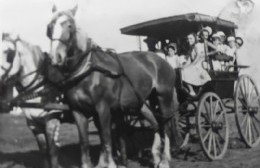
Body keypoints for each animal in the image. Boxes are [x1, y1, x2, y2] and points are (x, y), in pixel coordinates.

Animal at [46, 5, 180, 168]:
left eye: (69, 26)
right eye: (49, 27)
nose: (55, 57)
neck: (87, 71)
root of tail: (161, 60)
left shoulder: (103, 108)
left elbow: (106, 138)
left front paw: (109, 163)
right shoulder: (78, 111)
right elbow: (84, 142)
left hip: (163, 97)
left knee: (165, 126)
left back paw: (165, 160)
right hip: (142, 103)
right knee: (155, 123)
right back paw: (156, 157)